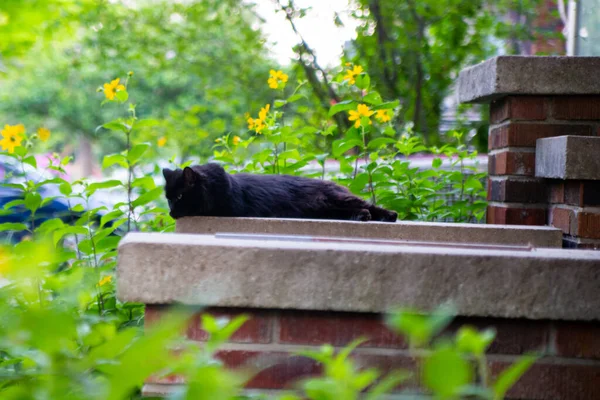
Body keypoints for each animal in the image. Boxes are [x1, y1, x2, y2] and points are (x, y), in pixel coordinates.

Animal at [164, 164, 398, 223]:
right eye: (168, 200)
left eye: (179, 197)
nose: (171, 212)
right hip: (325, 209)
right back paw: (367, 216)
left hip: (334, 200)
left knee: (367, 205)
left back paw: (387, 216)